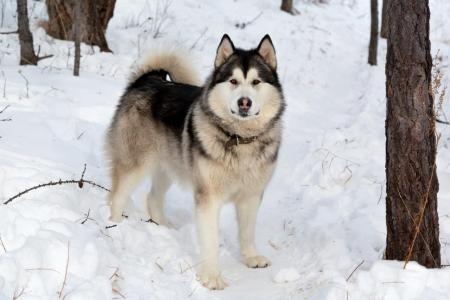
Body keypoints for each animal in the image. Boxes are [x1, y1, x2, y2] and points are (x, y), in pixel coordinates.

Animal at [105, 34, 284, 290]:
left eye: (256, 82)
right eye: (233, 81)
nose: (244, 102)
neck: (240, 139)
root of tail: (148, 79)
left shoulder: (251, 195)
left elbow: (247, 231)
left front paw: (250, 257)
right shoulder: (208, 199)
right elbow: (210, 241)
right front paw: (211, 277)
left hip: (169, 165)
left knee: (153, 198)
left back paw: (163, 226)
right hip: (136, 164)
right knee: (116, 196)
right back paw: (116, 226)